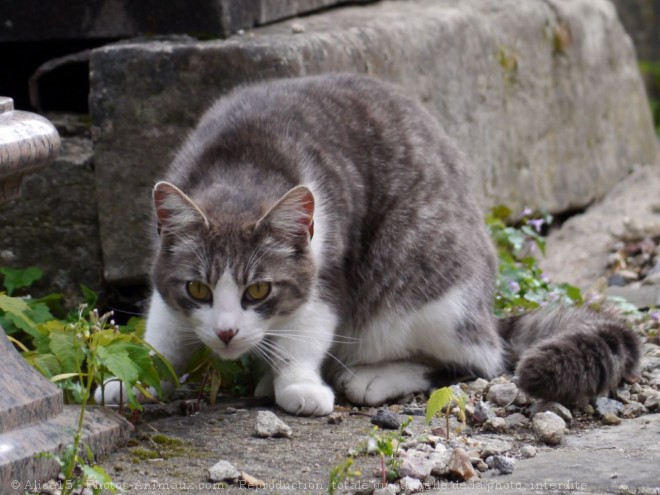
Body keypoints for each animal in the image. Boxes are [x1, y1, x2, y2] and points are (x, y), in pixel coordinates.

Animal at [96, 72, 640, 414]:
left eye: (258, 291)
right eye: (198, 290)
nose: (227, 333)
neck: (243, 162)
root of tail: (488, 312)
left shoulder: (326, 276)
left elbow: (304, 333)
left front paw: (298, 385)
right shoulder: (167, 283)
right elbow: (163, 336)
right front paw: (129, 381)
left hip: (429, 291)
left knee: (478, 361)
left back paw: (367, 377)